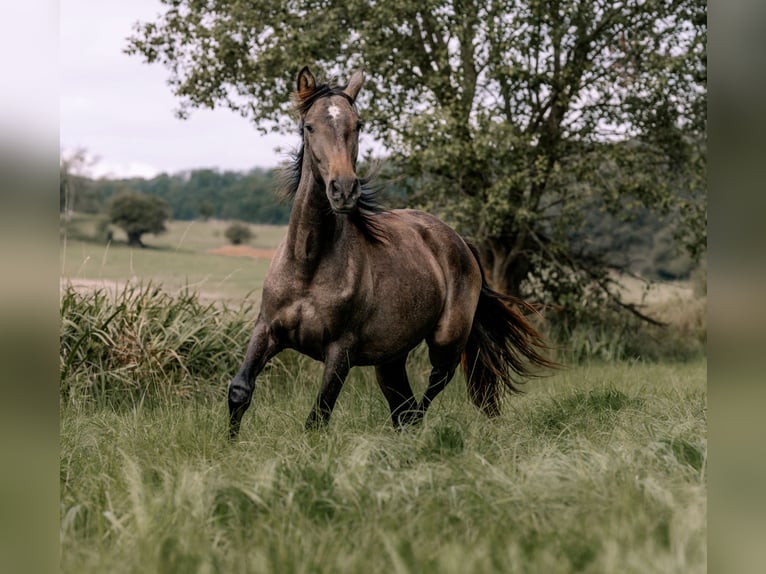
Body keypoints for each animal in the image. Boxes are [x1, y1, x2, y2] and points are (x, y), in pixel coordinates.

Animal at [225, 65, 556, 438]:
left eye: (357, 125)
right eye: (309, 126)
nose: (343, 190)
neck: (309, 263)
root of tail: (459, 241)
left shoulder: (340, 350)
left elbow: (319, 415)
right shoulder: (267, 329)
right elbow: (240, 390)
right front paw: (231, 445)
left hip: (446, 341)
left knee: (428, 391)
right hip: (390, 357)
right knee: (402, 404)